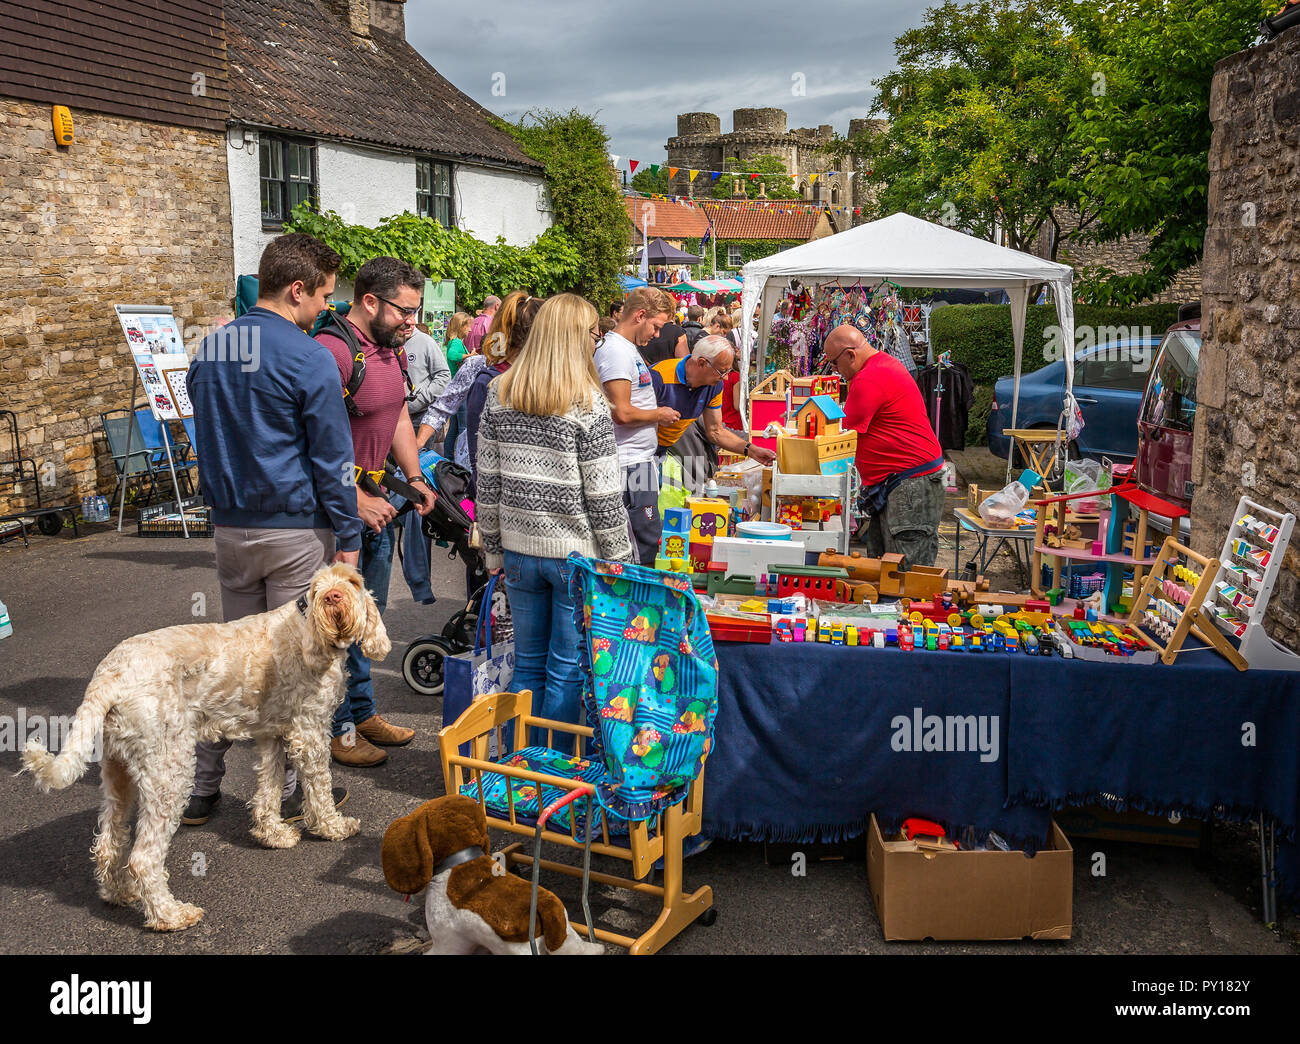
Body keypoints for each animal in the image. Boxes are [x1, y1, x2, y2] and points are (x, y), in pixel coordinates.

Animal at [22, 564, 387, 930]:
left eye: (351, 582)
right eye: (315, 588)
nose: (333, 597)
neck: (307, 627)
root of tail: (108, 676)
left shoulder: (272, 735)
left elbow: (269, 788)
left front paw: (272, 834)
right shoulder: (309, 732)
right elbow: (320, 788)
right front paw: (333, 828)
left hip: (118, 771)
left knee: (109, 842)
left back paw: (119, 893)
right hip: (170, 772)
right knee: (143, 858)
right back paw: (170, 915)